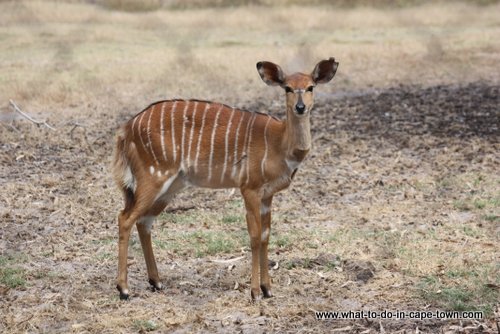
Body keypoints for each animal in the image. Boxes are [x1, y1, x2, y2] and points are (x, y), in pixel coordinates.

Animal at [113, 57, 340, 300]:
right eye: (287, 88)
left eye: (311, 87)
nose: (300, 107)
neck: (280, 143)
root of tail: (127, 128)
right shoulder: (249, 188)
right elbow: (254, 236)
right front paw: (255, 292)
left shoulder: (267, 195)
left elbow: (266, 235)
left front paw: (268, 289)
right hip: (153, 177)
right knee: (125, 218)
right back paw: (124, 289)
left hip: (171, 186)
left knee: (144, 221)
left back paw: (156, 282)